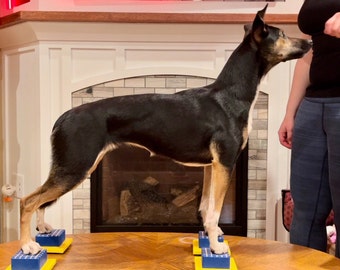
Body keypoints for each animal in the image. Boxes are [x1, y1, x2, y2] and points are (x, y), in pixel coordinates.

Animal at [17, 6, 310, 255]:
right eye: (282, 34)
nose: (310, 43)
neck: (229, 95)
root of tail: (63, 117)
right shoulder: (226, 162)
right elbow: (214, 210)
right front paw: (217, 247)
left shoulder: (210, 166)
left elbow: (207, 209)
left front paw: (212, 237)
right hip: (75, 167)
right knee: (28, 201)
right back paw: (29, 245)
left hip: (69, 168)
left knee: (40, 201)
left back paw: (43, 230)